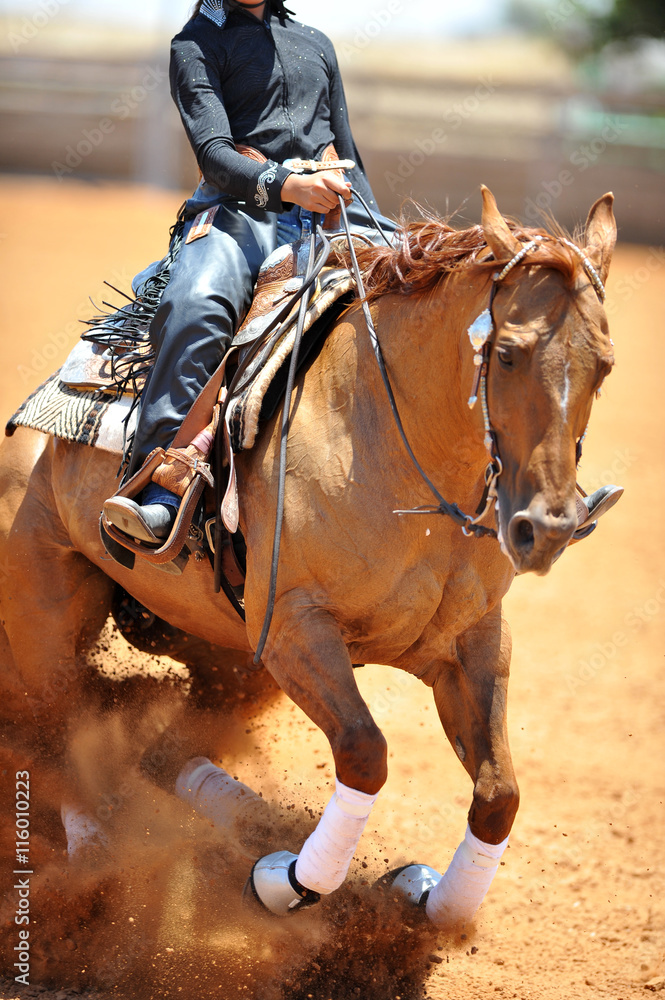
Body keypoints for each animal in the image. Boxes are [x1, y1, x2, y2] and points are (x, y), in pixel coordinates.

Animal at [0, 186, 616, 926]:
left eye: (604, 366)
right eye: (508, 355)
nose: (545, 527)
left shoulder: (474, 640)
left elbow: (499, 795)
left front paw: (430, 900)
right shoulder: (295, 630)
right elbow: (365, 752)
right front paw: (288, 882)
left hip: (231, 665)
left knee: (161, 756)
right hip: (47, 611)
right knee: (58, 736)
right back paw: (93, 864)